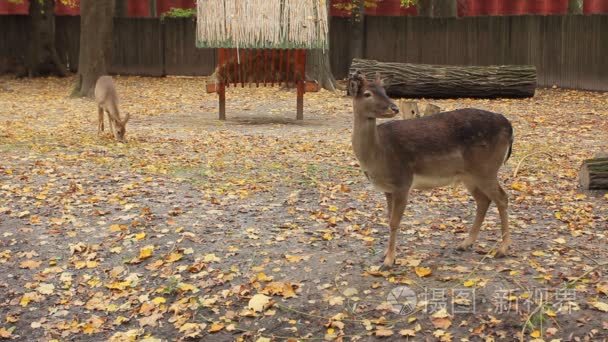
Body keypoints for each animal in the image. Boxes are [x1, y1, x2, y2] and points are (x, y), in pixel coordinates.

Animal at [350, 71, 516, 268]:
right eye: (367, 93)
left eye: (384, 91)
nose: (394, 108)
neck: (379, 154)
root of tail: (508, 126)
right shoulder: (388, 189)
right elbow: (388, 219)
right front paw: (386, 255)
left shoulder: (403, 182)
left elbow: (394, 222)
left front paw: (389, 261)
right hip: (469, 175)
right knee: (483, 200)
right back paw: (465, 243)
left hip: (487, 168)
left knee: (502, 198)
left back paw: (502, 249)